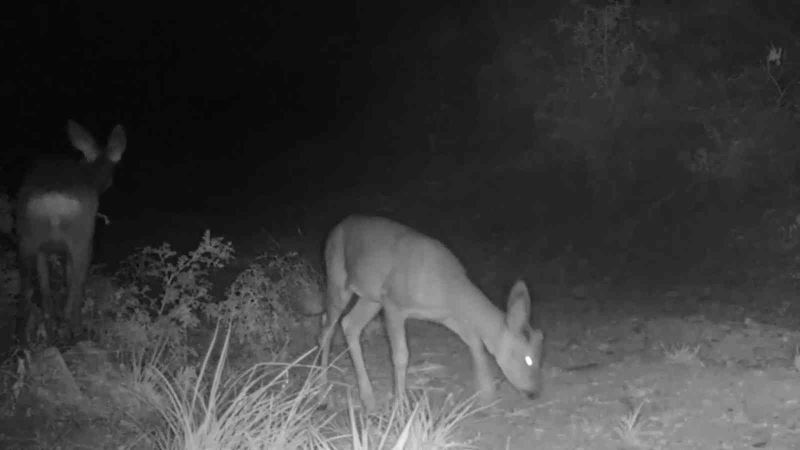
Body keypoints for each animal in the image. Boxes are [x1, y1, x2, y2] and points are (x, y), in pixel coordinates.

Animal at [15, 120, 126, 342]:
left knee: (28, 289)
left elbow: (47, 287)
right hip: (81, 239)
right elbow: (70, 281)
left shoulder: (45, 250)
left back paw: (27, 336)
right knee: (77, 284)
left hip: (27, 237)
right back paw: (76, 331)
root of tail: (54, 201)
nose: (109, 183)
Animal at [318, 215, 544, 412]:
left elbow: (475, 342)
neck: (448, 288)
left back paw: (368, 400)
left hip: (371, 297)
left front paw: (486, 394)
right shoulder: (394, 303)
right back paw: (321, 391)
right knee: (326, 327)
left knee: (349, 324)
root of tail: (337, 227)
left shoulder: (447, 315)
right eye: (528, 359)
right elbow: (401, 355)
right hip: (337, 277)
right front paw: (401, 406)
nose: (534, 392)